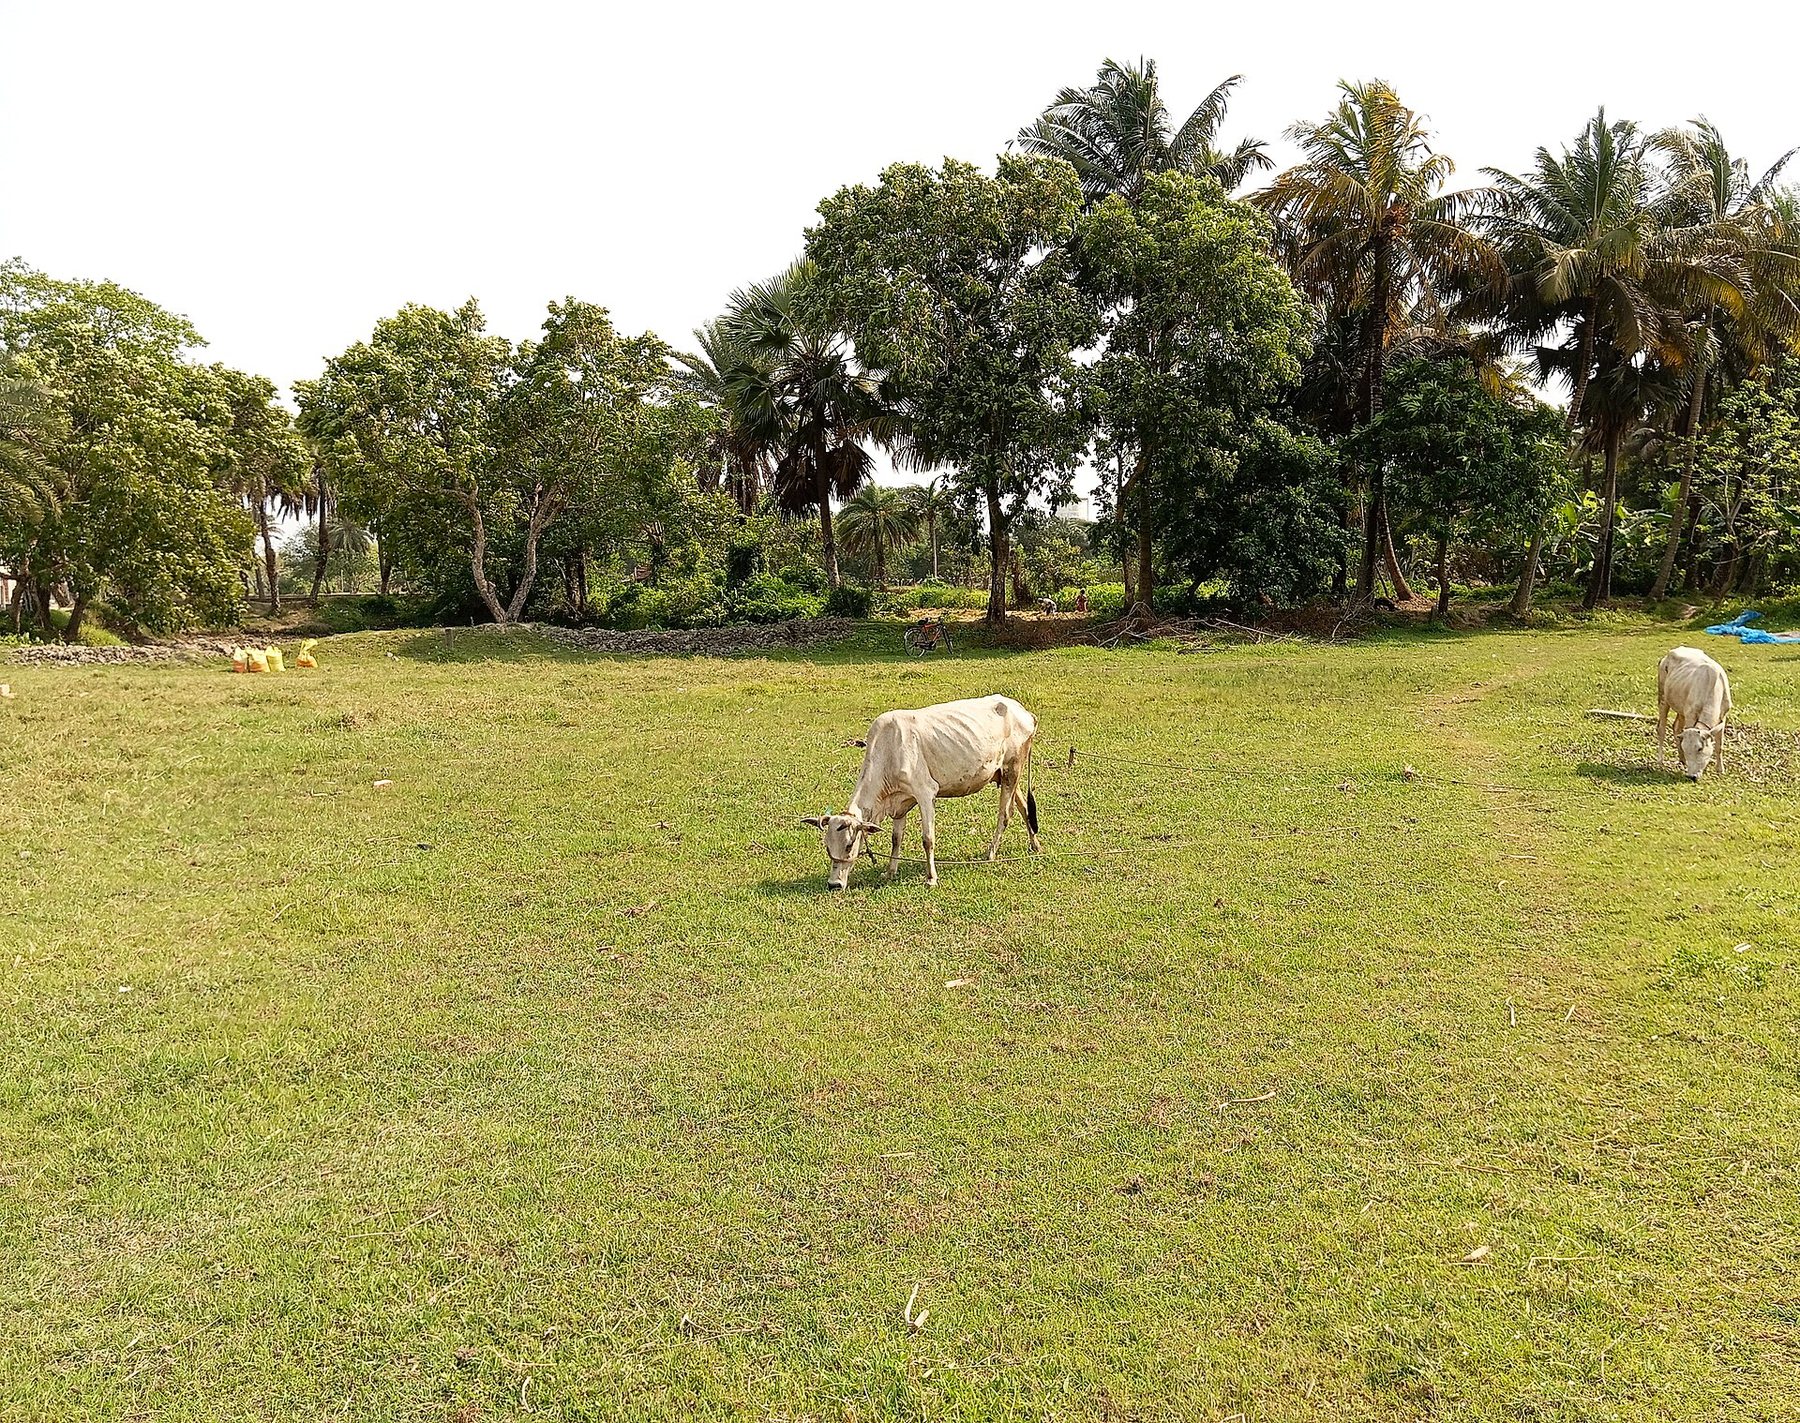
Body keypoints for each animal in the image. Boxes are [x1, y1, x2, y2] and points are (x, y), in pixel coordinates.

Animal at [802, 695, 1040, 889]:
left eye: (849, 845)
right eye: (827, 846)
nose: (834, 884)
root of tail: (1023, 711)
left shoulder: (925, 794)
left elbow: (928, 839)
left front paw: (931, 878)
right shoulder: (900, 803)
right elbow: (896, 838)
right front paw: (890, 872)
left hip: (1012, 768)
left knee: (1005, 814)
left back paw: (991, 853)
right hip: (1005, 773)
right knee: (1023, 806)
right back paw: (1035, 845)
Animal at [1657, 646, 1733, 781]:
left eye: (1700, 748)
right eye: (1686, 748)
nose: (1691, 776)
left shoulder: (1723, 716)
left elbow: (1719, 746)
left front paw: (1720, 769)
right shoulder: (1690, 714)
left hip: (1681, 708)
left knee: (1676, 727)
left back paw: (1681, 759)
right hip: (1663, 697)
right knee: (1662, 729)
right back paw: (1661, 761)